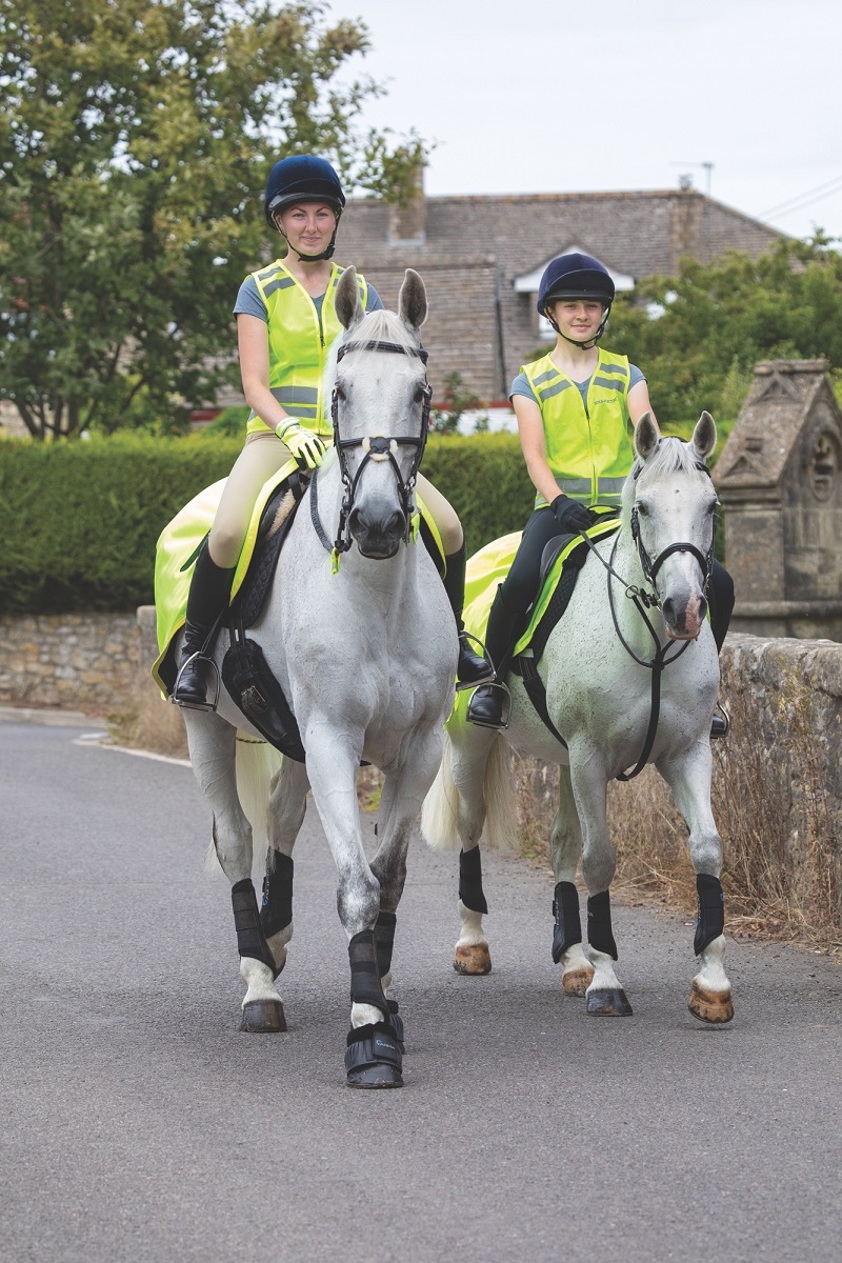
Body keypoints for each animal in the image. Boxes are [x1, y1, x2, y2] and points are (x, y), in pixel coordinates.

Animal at [180, 269, 456, 1086]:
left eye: (421, 391)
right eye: (339, 390)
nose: (376, 523)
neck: (377, 591)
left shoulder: (419, 748)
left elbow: (388, 878)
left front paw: (386, 1004)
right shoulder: (334, 738)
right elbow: (358, 888)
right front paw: (369, 1036)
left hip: (294, 741)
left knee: (280, 820)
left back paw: (275, 936)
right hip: (208, 727)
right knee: (237, 841)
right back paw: (259, 986)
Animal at [421, 414, 732, 1025]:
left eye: (711, 506)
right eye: (644, 508)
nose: (684, 609)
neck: (649, 642)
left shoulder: (687, 752)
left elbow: (706, 846)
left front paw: (711, 982)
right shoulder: (591, 757)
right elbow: (601, 859)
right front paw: (608, 981)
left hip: (565, 760)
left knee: (561, 842)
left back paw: (571, 959)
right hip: (473, 747)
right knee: (471, 827)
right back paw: (473, 944)